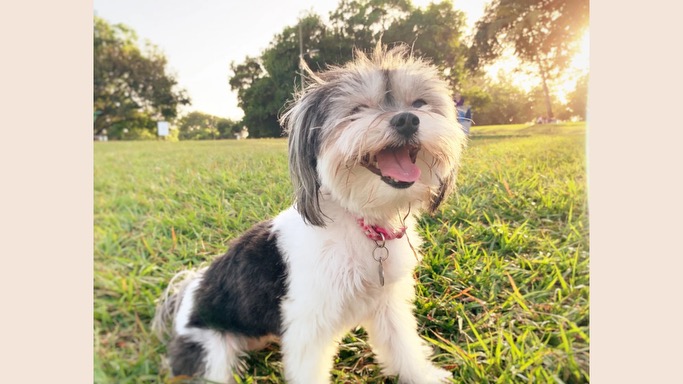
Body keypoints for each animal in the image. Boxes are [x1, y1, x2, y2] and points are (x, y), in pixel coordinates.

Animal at [152, 45, 468, 384]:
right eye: (358, 109)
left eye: (419, 103)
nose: (407, 119)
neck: (361, 221)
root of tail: (187, 295)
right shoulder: (308, 320)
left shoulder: (387, 302)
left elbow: (401, 343)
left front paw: (422, 375)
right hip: (212, 348)